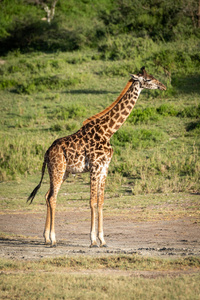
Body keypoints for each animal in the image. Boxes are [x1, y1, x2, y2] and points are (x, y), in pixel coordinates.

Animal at [27, 67, 166, 247]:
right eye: (148, 79)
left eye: (153, 77)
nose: (163, 86)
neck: (108, 131)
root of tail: (46, 152)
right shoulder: (94, 167)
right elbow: (92, 201)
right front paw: (93, 240)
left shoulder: (104, 168)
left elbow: (101, 201)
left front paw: (102, 239)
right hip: (57, 170)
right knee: (52, 198)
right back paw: (53, 239)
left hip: (64, 172)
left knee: (47, 195)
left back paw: (46, 238)